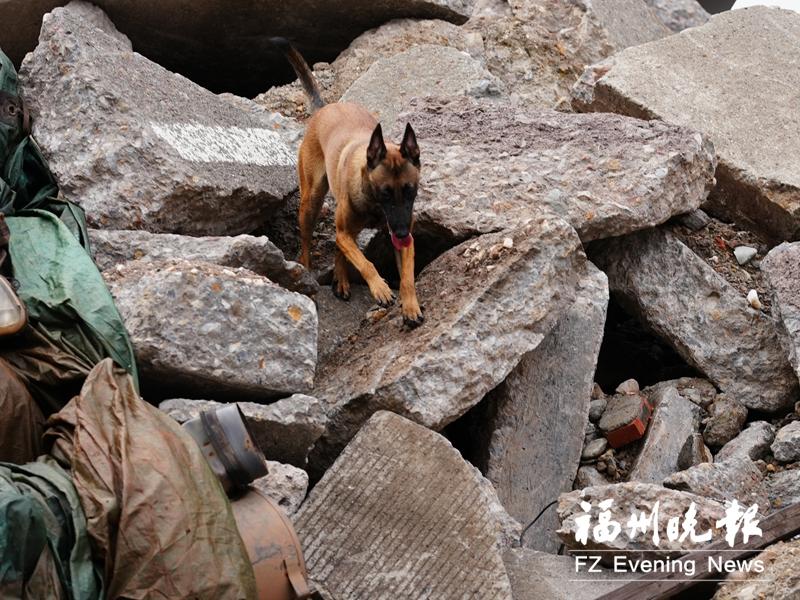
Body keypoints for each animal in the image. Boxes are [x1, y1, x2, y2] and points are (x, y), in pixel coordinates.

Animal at [273, 39, 424, 328]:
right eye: (385, 193)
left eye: (410, 191)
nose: (401, 233)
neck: (375, 207)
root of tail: (325, 107)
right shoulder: (346, 230)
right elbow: (365, 263)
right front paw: (380, 288)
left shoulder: (403, 237)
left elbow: (408, 275)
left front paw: (411, 305)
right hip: (311, 203)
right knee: (310, 243)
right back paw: (310, 272)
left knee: (341, 247)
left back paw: (341, 280)